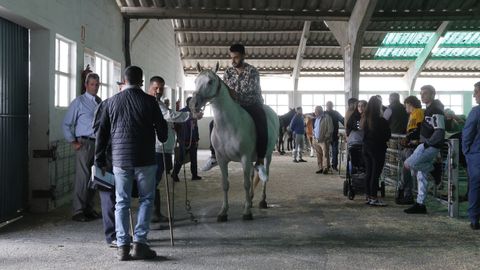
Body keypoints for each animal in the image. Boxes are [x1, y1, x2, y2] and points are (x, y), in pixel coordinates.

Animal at [191, 64, 280, 223]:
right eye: (195, 81)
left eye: (210, 82)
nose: (194, 105)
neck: (228, 124)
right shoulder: (222, 159)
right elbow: (225, 184)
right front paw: (223, 212)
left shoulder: (244, 157)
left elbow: (245, 184)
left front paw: (246, 212)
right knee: (252, 175)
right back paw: (250, 200)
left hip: (267, 156)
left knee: (265, 176)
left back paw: (262, 201)